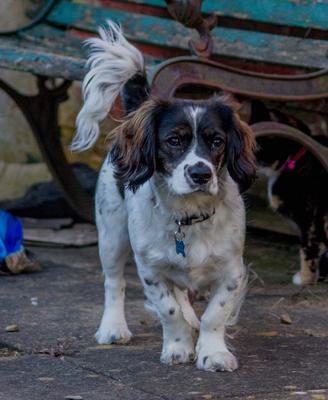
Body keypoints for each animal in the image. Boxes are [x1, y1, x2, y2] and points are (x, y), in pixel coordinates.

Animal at [72, 21, 256, 372]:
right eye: (174, 140)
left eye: (217, 141)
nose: (200, 174)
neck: (188, 216)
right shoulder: (151, 270)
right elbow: (168, 310)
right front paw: (178, 347)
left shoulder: (231, 271)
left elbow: (215, 314)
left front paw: (213, 352)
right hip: (111, 235)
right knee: (114, 282)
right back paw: (113, 327)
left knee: (183, 292)